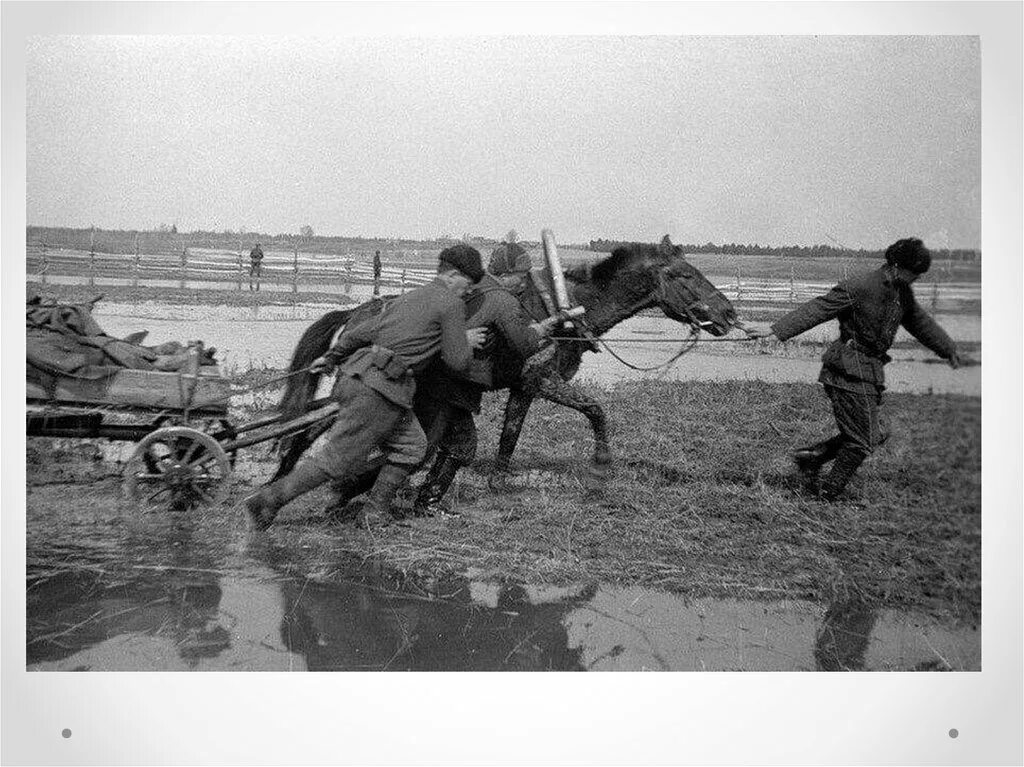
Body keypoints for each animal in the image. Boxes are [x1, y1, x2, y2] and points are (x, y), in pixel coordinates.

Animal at [272, 236, 737, 481]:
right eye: (687, 275)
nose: (729, 314)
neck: (564, 308)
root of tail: (357, 313)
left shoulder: (524, 388)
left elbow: (510, 435)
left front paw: (497, 477)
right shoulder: (543, 380)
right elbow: (595, 409)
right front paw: (603, 462)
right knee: (310, 427)